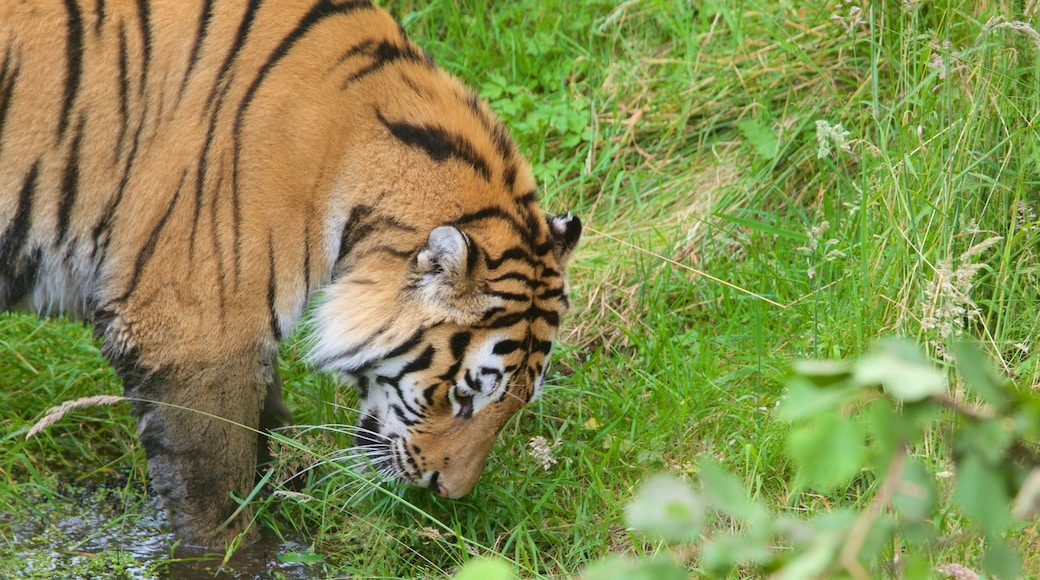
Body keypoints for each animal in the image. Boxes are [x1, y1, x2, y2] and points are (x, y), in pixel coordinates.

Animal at [0, 0, 582, 548]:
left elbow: (267, 426)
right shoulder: (194, 334)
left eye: (515, 405)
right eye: (462, 398)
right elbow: (215, 484)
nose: (447, 492)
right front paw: (236, 553)